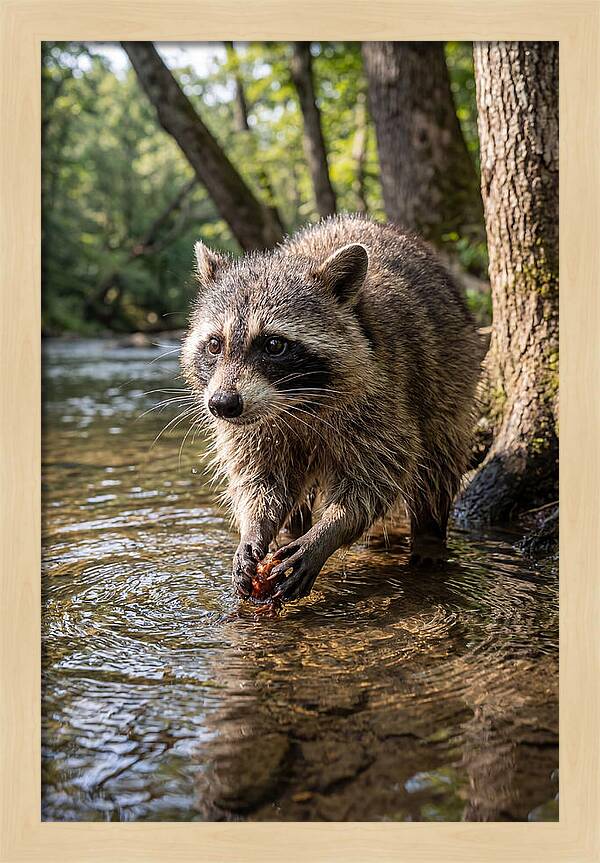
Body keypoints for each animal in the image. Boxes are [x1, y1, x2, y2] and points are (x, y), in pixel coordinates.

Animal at [181, 215, 481, 602]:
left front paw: (328, 532)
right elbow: (260, 478)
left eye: (274, 345)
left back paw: (429, 536)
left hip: (451, 373)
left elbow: (377, 477)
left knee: (438, 462)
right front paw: (254, 527)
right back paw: (292, 529)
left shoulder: (383, 395)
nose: (222, 405)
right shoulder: (253, 426)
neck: (294, 403)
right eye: (215, 345)